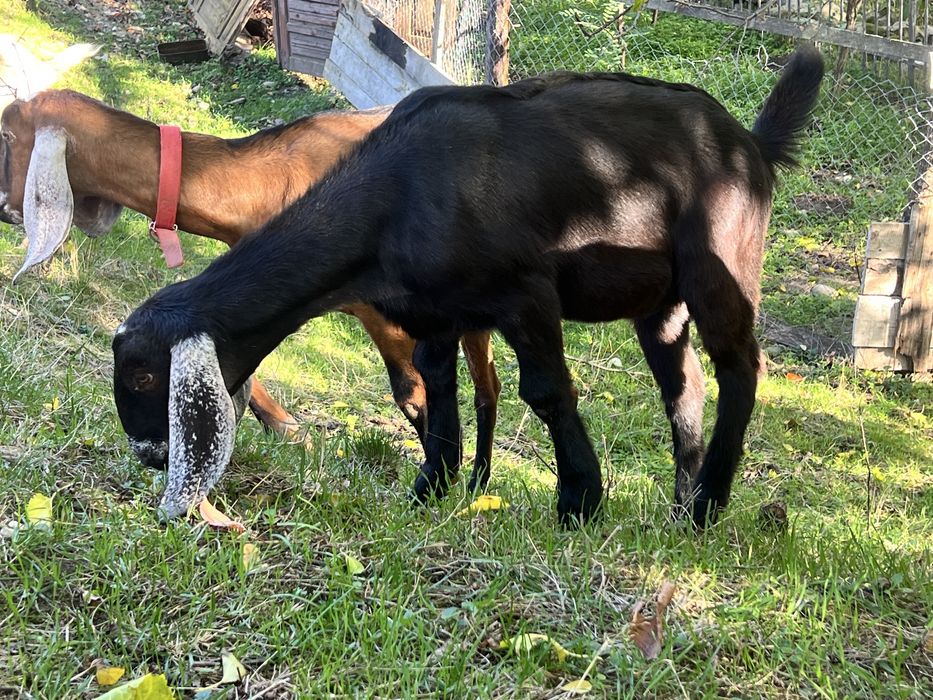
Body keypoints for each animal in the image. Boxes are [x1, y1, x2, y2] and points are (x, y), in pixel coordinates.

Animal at [0, 90, 501, 489]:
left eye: (7, 135)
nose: (5, 209)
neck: (274, 178)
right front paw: (289, 430)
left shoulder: (390, 316)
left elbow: (412, 395)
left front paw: (435, 478)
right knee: (488, 384)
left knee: (485, 385)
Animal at [112, 47, 824, 526]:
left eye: (145, 375)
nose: (148, 455)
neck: (397, 196)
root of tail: (749, 143)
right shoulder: (434, 314)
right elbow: (436, 385)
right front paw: (432, 485)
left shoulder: (527, 293)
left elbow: (547, 390)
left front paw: (580, 500)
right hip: (658, 302)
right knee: (685, 383)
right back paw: (681, 500)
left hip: (718, 261)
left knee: (740, 365)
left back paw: (709, 504)